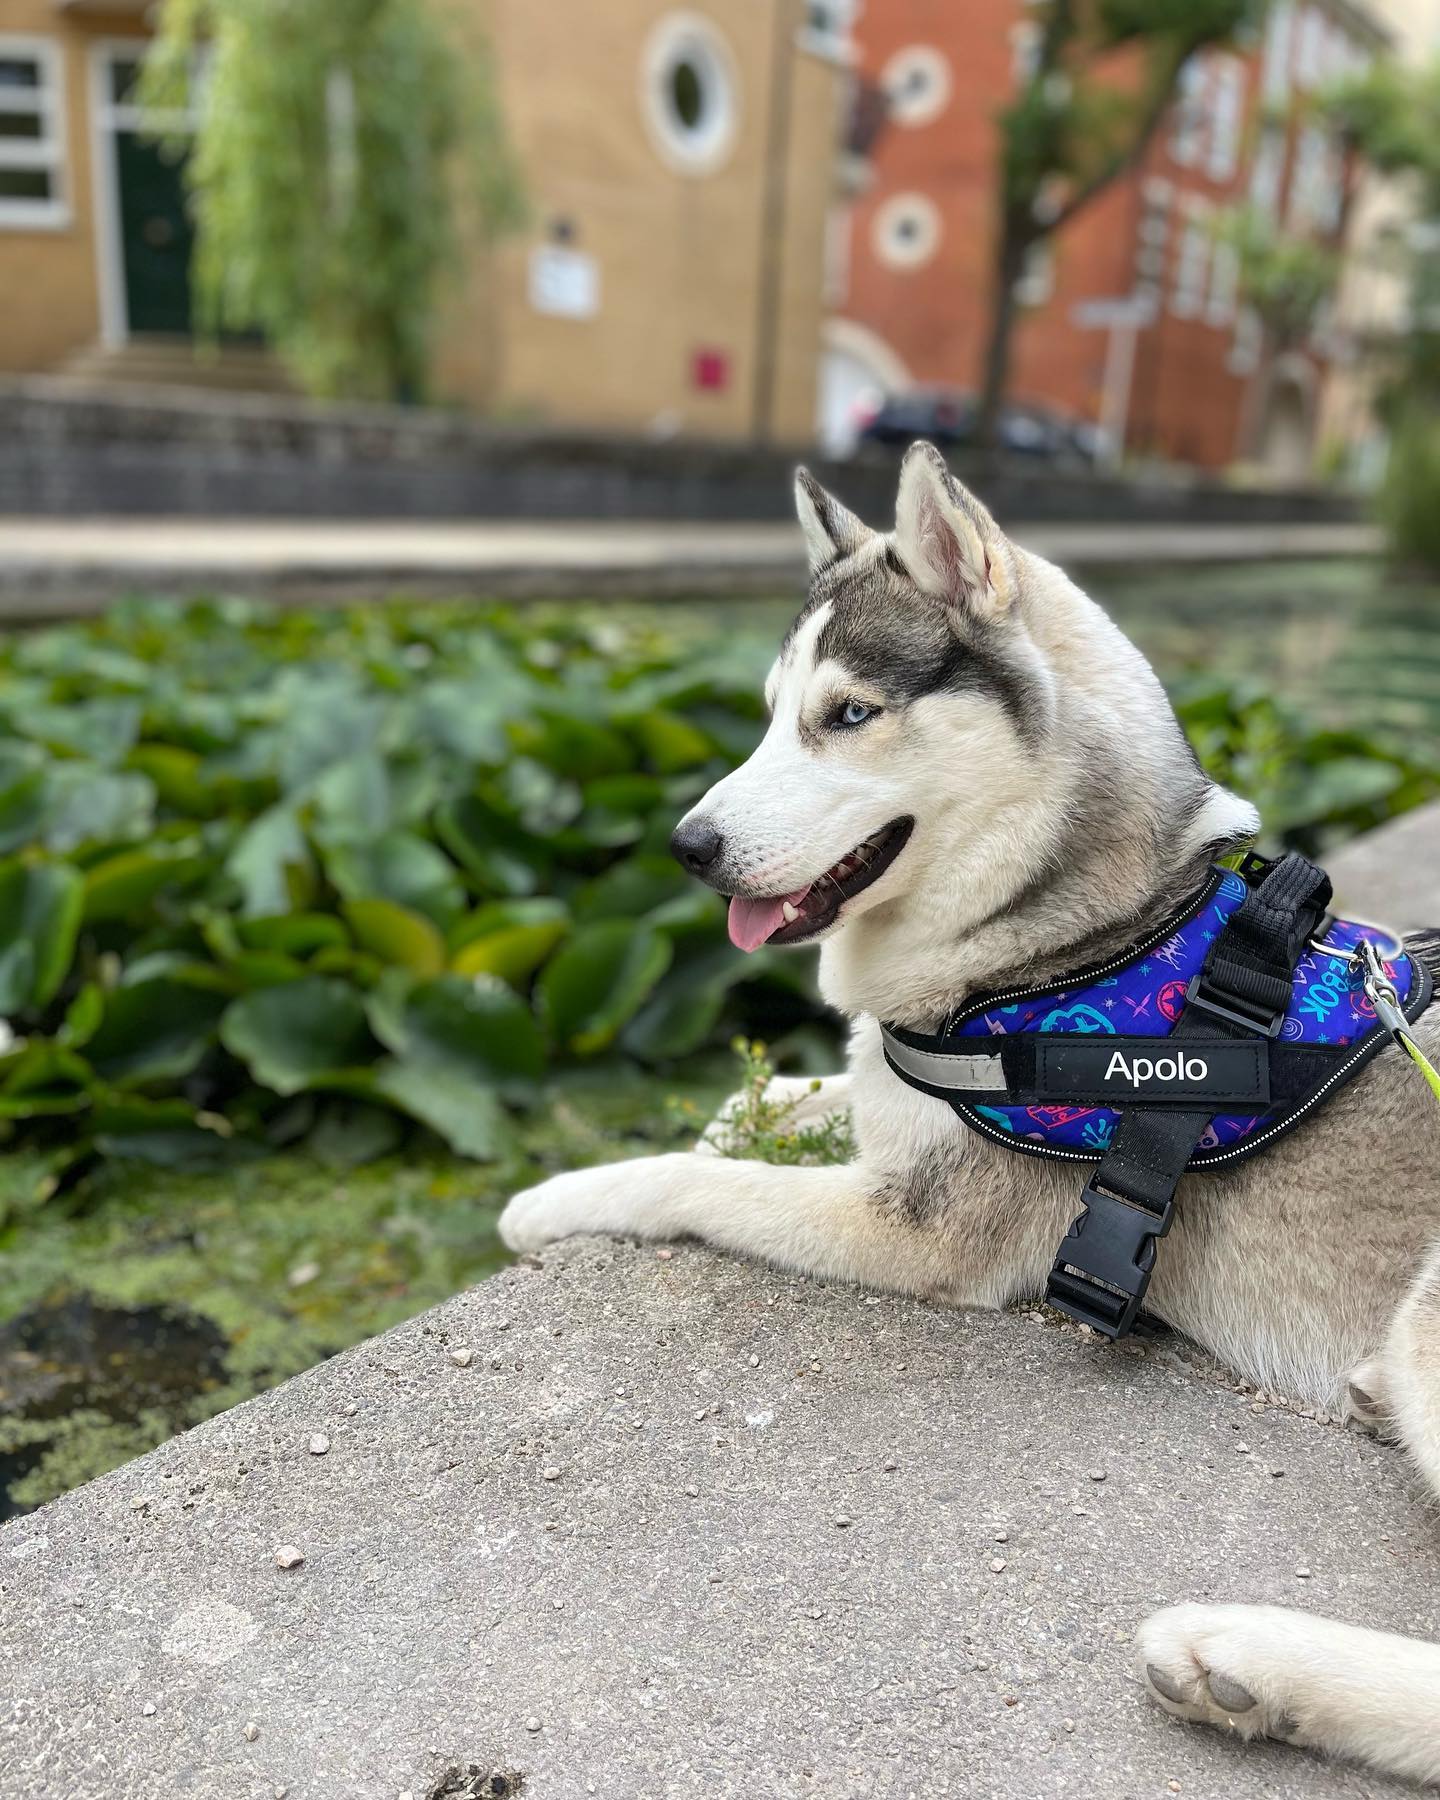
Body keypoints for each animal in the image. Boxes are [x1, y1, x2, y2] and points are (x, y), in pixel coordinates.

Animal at [496, 439, 1440, 1785]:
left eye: (849, 715)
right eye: (769, 712)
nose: (687, 846)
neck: (1073, 938)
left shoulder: (922, 1229)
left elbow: (685, 1176)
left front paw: (552, 1200)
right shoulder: (891, 1100)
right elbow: (781, 1095)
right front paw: (730, 1109)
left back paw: (1252, 1663)